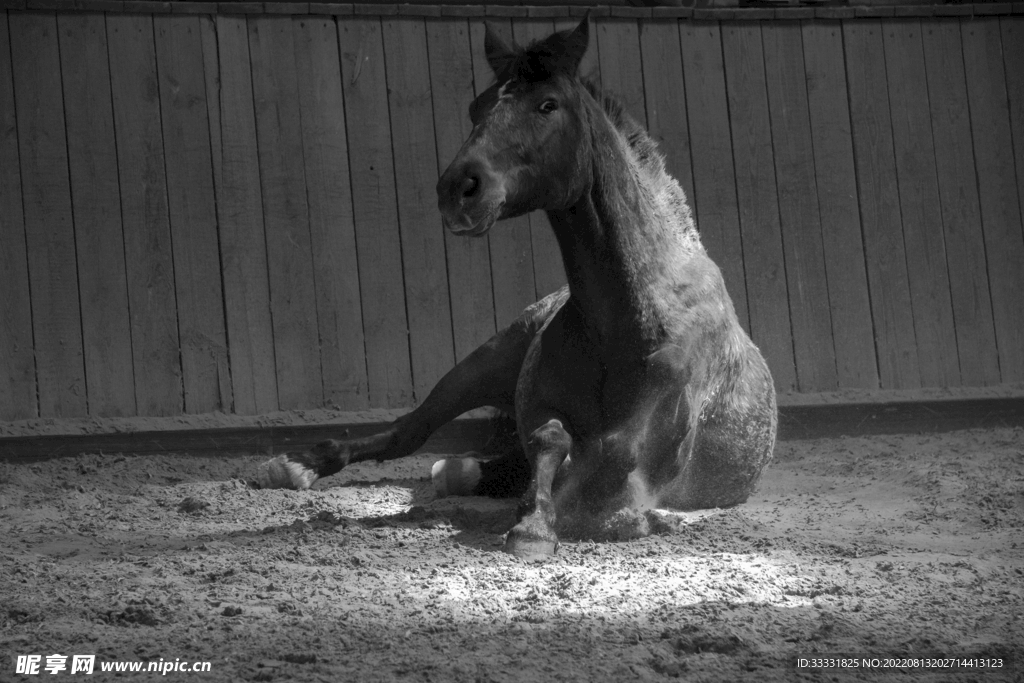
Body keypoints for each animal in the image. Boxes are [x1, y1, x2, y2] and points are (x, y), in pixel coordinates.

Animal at [259, 19, 777, 560]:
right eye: (477, 107)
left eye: (548, 104)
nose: (458, 189)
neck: (627, 315)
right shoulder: (542, 408)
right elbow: (551, 439)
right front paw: (535, 521)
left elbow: (609, 457)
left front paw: (589, 516)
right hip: (484, 362)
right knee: (411, 431)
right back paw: (295, 465)